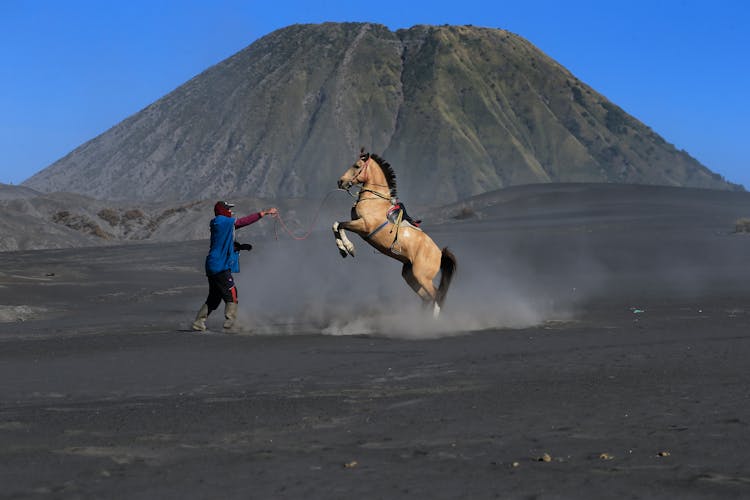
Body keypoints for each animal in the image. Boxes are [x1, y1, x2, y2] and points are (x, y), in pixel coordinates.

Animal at [334, 148, 458, 316]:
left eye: (357, 165)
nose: (340, 182)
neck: (375, 200)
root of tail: (439, 253)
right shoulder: (357, 224)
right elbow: (336, 225)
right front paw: (342, 250)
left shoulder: (363, 226)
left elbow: (340, 225)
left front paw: (349, 248)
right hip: (410, 275)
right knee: (427, 298)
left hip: (422, 277)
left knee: (436, 296)